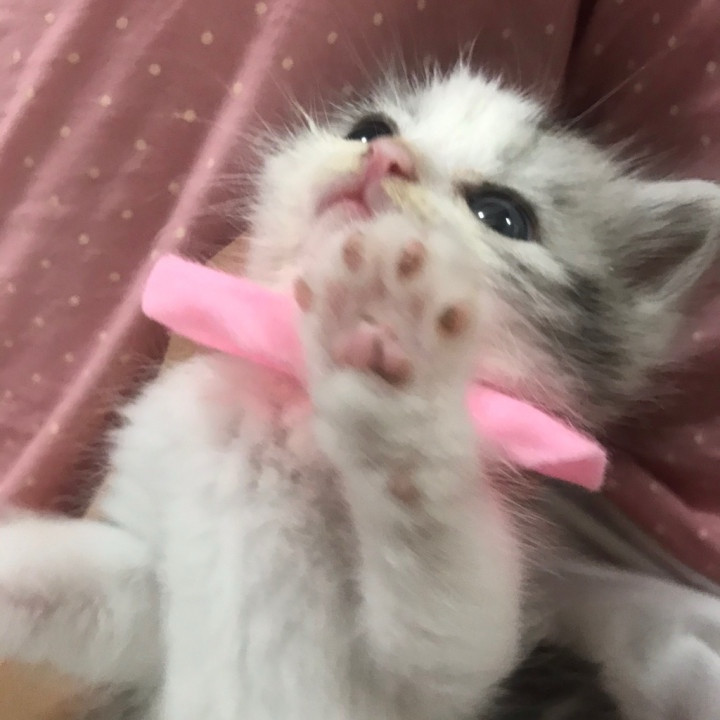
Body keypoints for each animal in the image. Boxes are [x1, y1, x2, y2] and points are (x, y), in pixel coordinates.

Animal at [1, 64, 720, 720]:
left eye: (503, 215)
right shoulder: (146, 586)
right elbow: (90, 589)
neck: (286, 401)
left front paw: (395, 351)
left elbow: (440, 604)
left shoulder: (437, 674)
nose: (386, 157)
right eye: (369, 129)